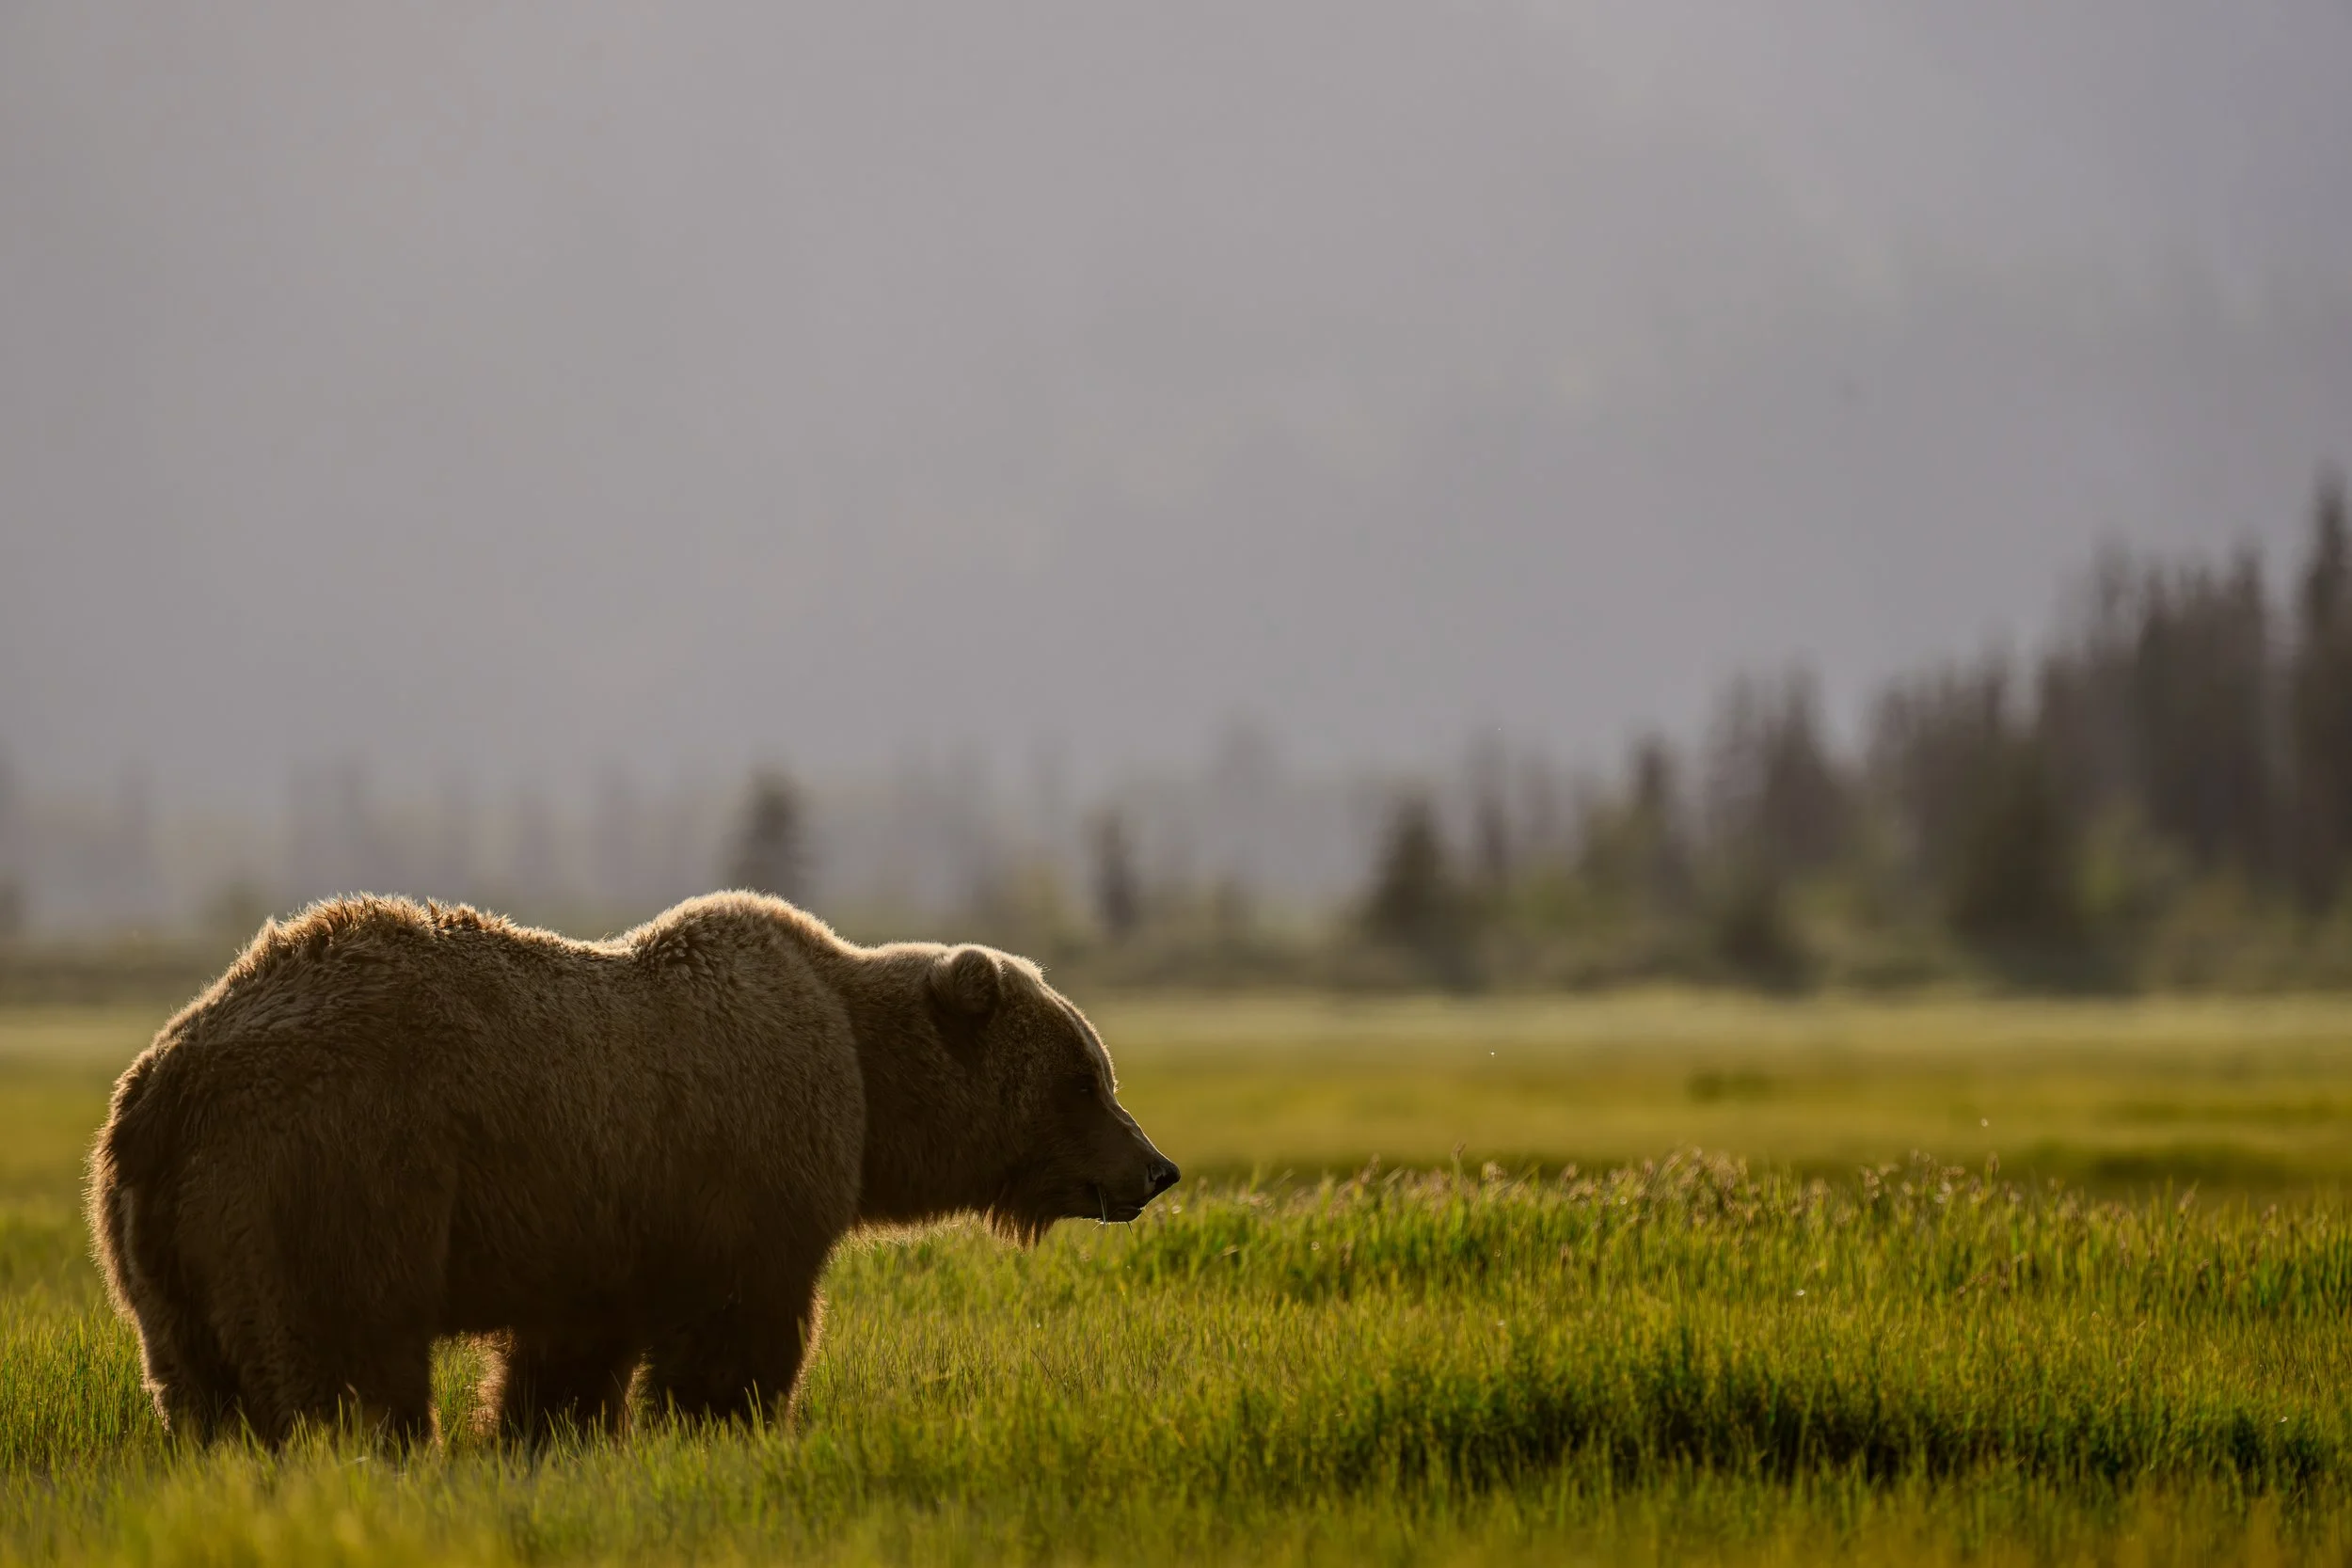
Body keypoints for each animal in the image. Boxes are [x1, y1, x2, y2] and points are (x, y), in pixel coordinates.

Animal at [86, 891, 1179, 1448]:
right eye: (1086, 1075)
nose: (1156, 1167)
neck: (868, 1081)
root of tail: (163, 1082)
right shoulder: (741, 1173)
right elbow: (740, 1330)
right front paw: (729, 1424)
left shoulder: (598, 1222)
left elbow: (566, 1362)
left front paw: (548, 1435)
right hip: (331, 1174)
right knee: (344, 1360)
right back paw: (378, 1448)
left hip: (167, 1243)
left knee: (198, 1387)